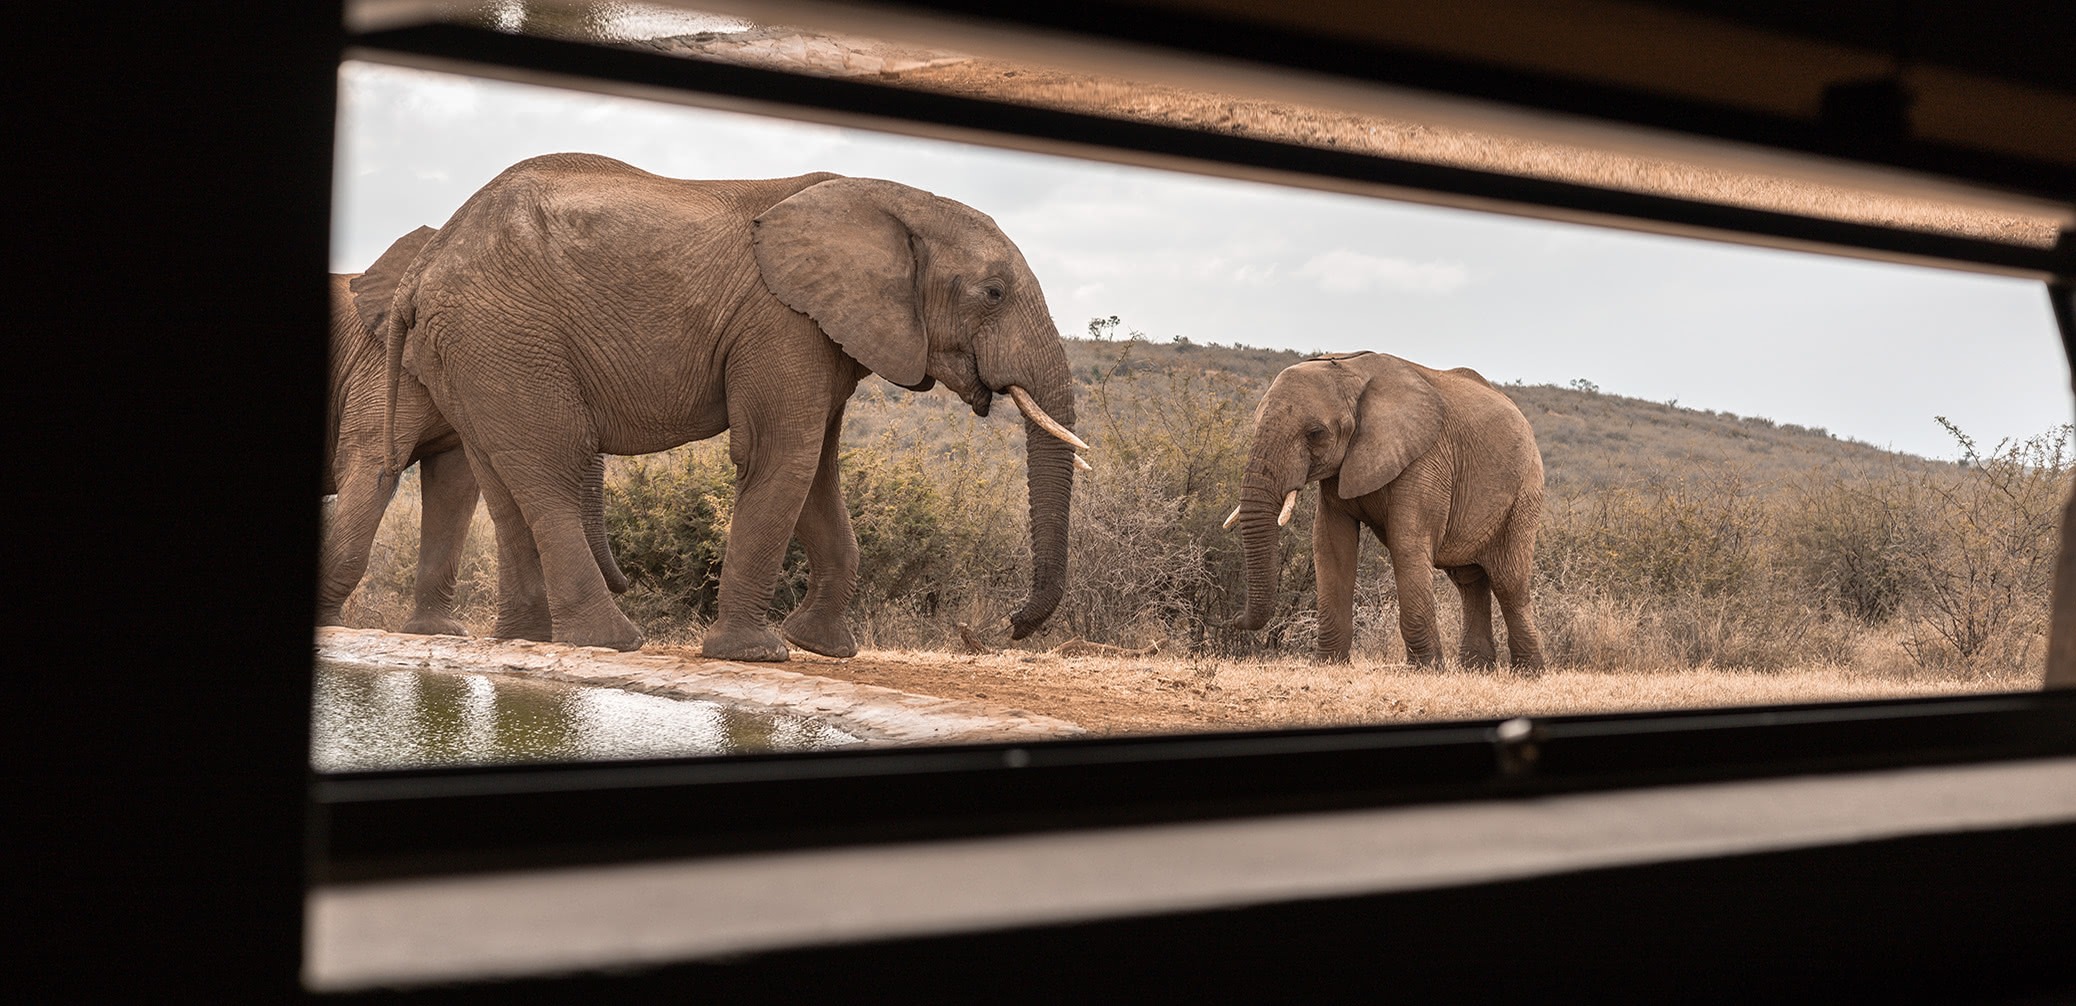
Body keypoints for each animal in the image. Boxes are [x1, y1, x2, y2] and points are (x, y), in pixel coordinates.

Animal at [315, 227, 622, 634]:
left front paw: (437, 631)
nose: (623, 584)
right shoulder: (380, 363)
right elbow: (370, 466)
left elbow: (454, 485)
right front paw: (331, 625)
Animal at [377, 152, 1087, 659]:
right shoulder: (781, 323)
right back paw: (612, 641)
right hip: (507, 336)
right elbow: (784, 458)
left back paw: (525, 640)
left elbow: (818, 472)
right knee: (550, 466)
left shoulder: (823, 334)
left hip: (469, 353)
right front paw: (757, 654)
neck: (893, 199)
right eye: (993, 293)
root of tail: (423, 269)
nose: (1007, 627)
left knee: (500, 479)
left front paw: (823, 648)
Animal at [1228, 348, 1544, 672]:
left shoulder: (1425, 457)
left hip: (1524, 493)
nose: (1236, 618)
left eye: (1315, 433)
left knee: (1509, 583)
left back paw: (1528, 673)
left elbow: (1406, 543)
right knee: (1469, 582)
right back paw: (1476, 670)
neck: (1350, 368)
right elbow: (1330, 545)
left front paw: (1426, 669)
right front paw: (1329, 663)